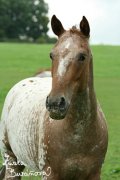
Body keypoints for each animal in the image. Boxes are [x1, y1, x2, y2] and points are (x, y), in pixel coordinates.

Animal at [0, 15, 108, 180]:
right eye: (52, 55)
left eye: (82, 56)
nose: (55, 104)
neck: (78, 137)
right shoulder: (50, 173)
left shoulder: (94, 174)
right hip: (11, 159)